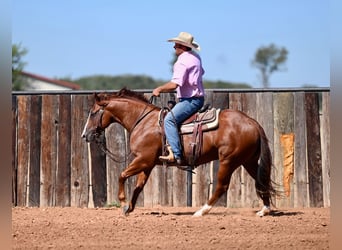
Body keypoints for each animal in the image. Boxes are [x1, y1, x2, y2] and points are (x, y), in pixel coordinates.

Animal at [81, 88, 276, 217]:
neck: (143, 121)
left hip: (228, 161)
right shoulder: (148, 163)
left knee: (222, 186)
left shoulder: (143, 159)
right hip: (248, 161)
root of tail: (252, 122)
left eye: (93, 113)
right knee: (261, 180)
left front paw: (122, 203)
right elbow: (138, 186)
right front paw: (129, 208)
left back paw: (201, 211)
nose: (85, 135)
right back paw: (264, 210)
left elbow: (121, 175)